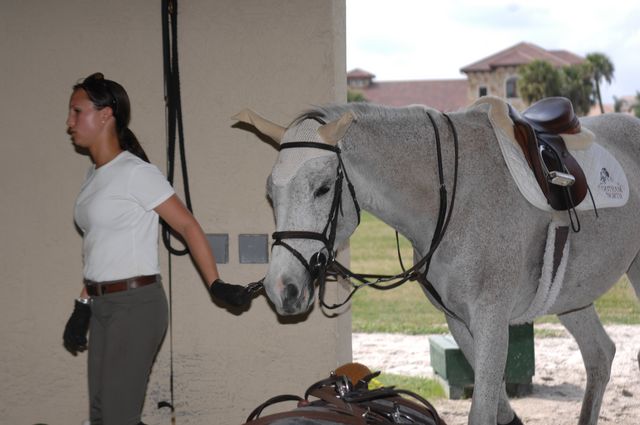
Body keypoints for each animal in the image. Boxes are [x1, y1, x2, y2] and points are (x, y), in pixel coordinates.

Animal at [233, 98, 640, 425]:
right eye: (270, 194)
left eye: (322, 188)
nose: (281, 288)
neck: (453, 196)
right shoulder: (459, 321)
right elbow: (500, 409)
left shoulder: (492, 321)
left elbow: (482, 412)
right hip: (571, 298)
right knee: (600, 356)